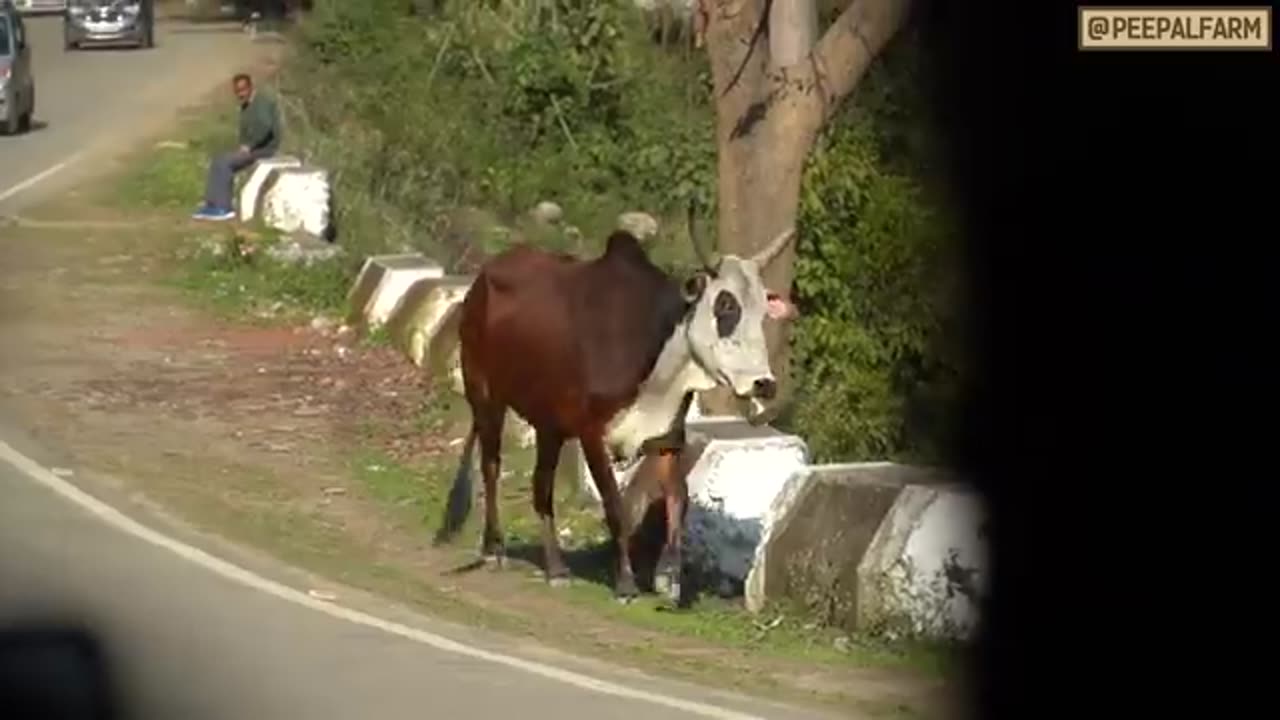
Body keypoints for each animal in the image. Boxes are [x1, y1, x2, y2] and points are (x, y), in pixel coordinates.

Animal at [435, 203, 793, 599]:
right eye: (725, 305)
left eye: (762, 311)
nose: (764, 384)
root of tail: (484, 276)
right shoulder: (592, 434)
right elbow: (614, 504)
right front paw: (625, 582)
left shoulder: (666, 437)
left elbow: (678, 498)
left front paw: (669, 576)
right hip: (485, 396)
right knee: (491, 466)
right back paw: (495, 548)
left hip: (548, 426)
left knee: (541, 487)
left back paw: (555, 567)